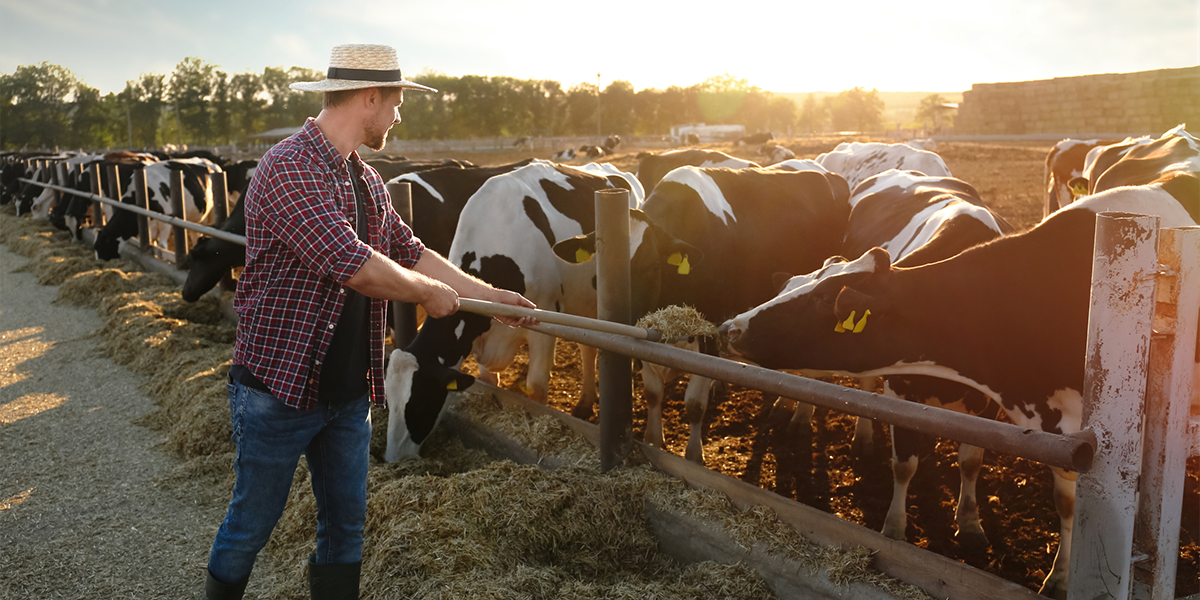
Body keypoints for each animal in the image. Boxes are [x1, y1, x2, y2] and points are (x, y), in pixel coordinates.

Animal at [93, 158, 223, 261]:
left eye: (99, 246)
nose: (99, 260)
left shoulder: (165, 222)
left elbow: (162, 247)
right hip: (196, 219)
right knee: (195, 233)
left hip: (211, 214)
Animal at [384, 158, 648, 458]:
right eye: (386, 401)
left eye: (418, 404)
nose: (392, 459)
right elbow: (490, 382)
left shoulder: (543, 323)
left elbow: (536, 388)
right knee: (588, 347)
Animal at [554, 166, 854, 460]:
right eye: (598, 273)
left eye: (652, 266)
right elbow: (653, 394)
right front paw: (654, 440)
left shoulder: (708, 329)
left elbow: (694, 404)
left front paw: (693, 455)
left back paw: (798, 416)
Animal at [715, 171, 1195, 597]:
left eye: (820, 300)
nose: (729, 327)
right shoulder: (908, 391)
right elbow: (905, 464)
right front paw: (894, 531)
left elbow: (989, 470)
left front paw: (1029, 559)